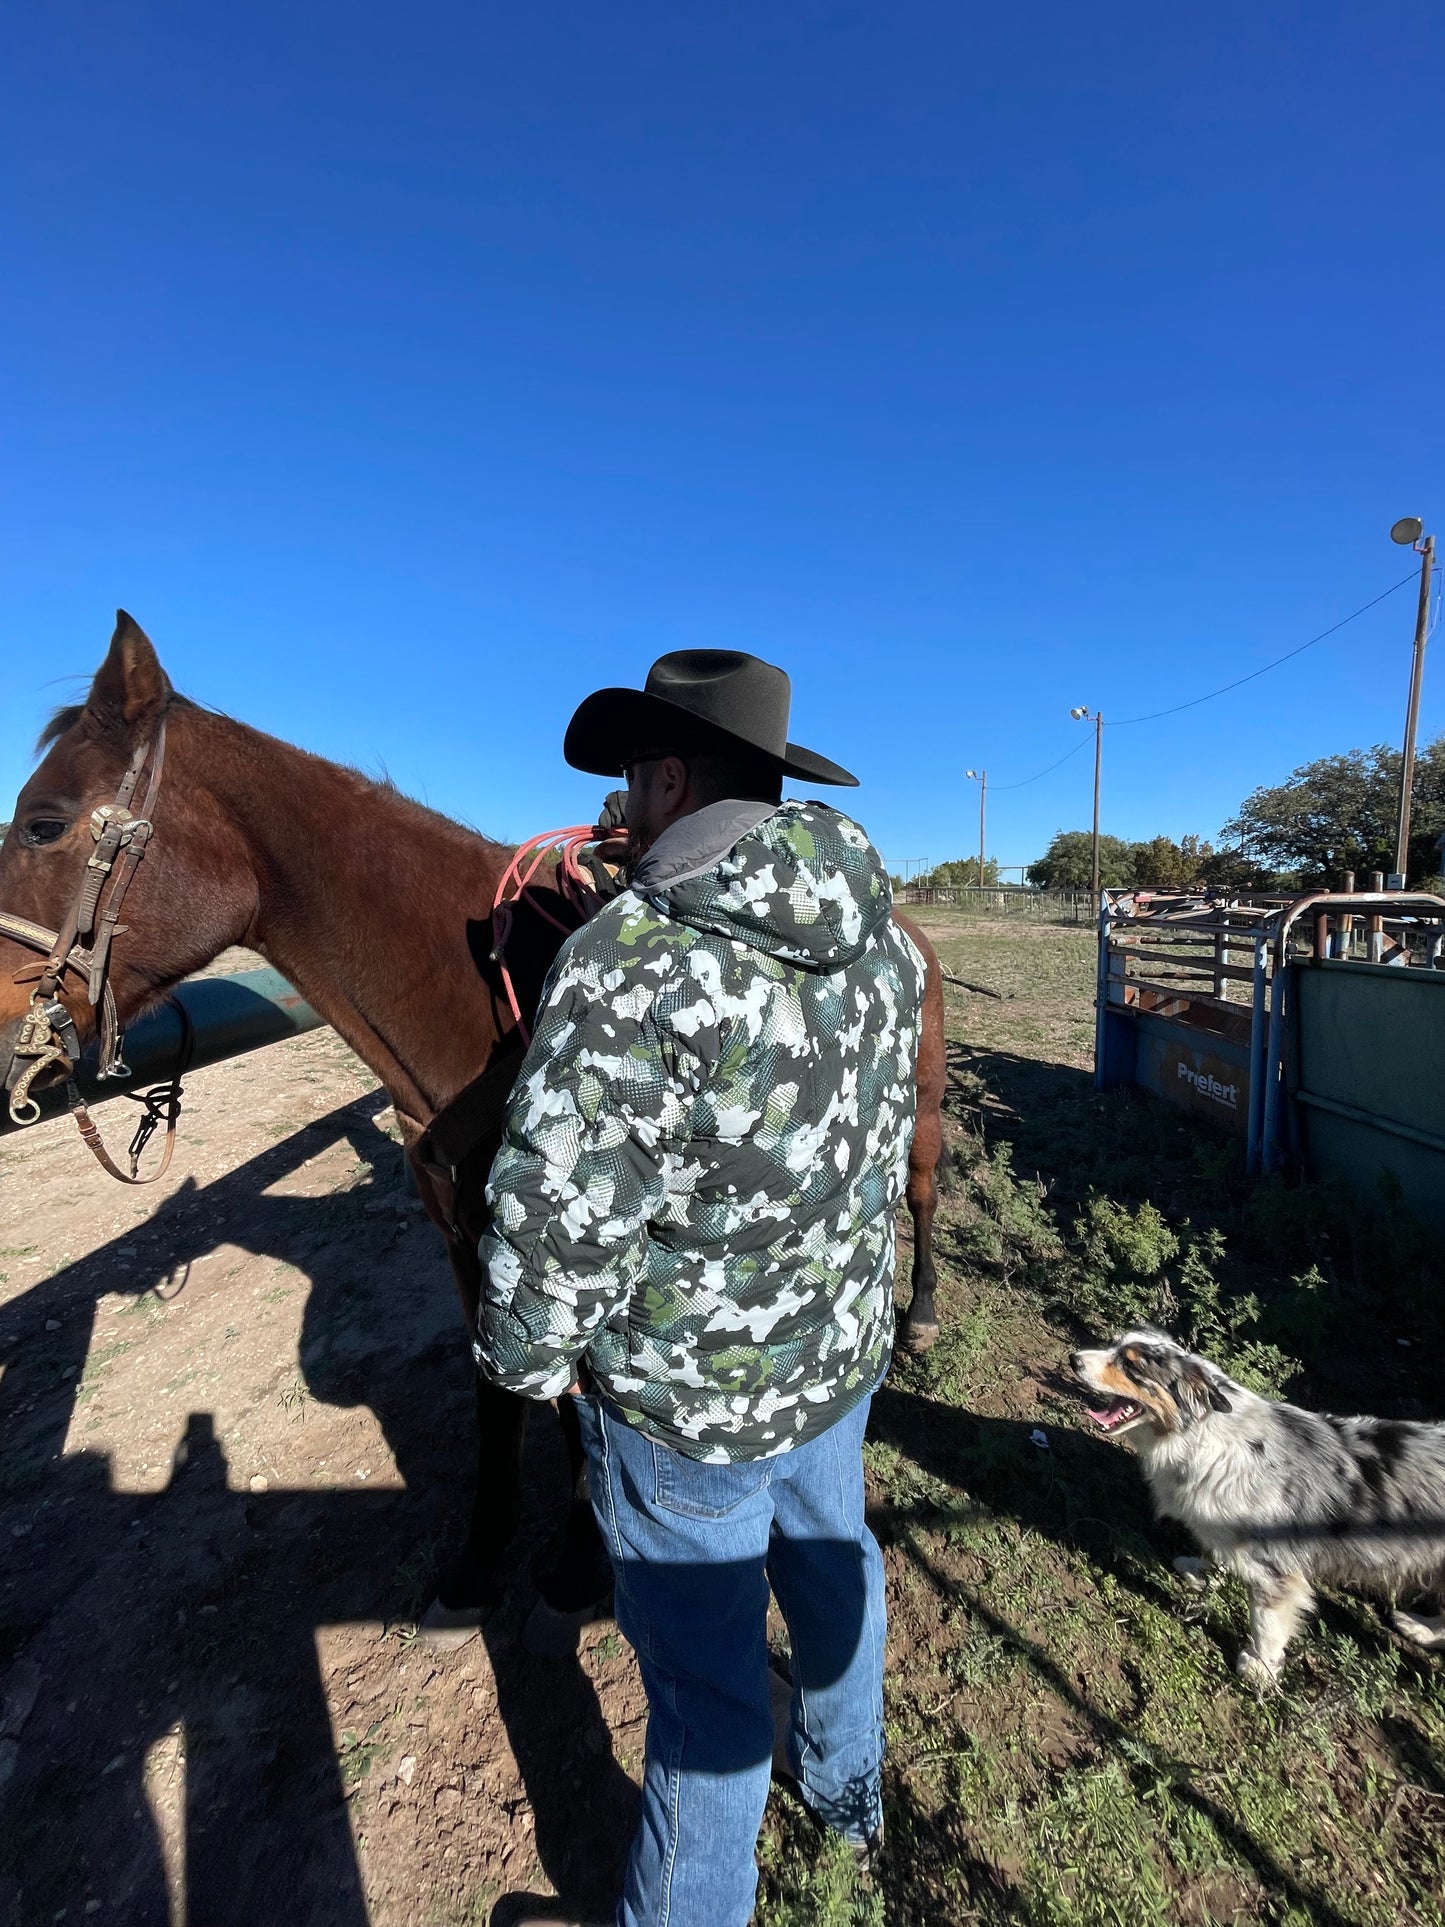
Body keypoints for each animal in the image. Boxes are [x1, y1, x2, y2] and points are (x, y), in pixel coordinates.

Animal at [0, 612, 944, 1610]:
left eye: (44, 823)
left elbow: (572, 1407)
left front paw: (578, 1559)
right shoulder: (469, 1250)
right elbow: (503, 1402)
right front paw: (480, 1558)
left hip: (921, 1119)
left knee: (921, 1195)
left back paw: (918, 1311)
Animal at [1071, 1333, 1441, 1680]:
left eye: (1130, 1366)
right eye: (1114, 1345)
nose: (1074, 1359)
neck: (1203, 1436)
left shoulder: (1276, 1570)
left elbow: (1265, 1622)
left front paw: (1260, 1668)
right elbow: (1220, 1556)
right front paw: (1201, 1570)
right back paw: (1420, 1627)